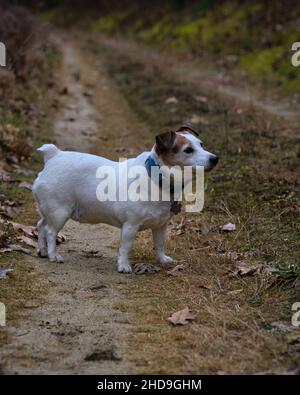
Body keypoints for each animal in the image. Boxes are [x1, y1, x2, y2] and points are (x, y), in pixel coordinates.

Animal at [32, 126, 218, 272]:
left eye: (201, 144)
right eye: (188, 150)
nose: (215, 158)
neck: (156, 178)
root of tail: (54, 156)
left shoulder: (160, 226)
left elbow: (159, 244)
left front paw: (162, 259)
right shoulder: (130, 226)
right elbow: (125, 248)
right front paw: (123, 265)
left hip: (50, 211)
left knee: (41, 226)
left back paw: (42, 251)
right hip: (60, 213)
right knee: (50, 231)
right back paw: (53, 255)